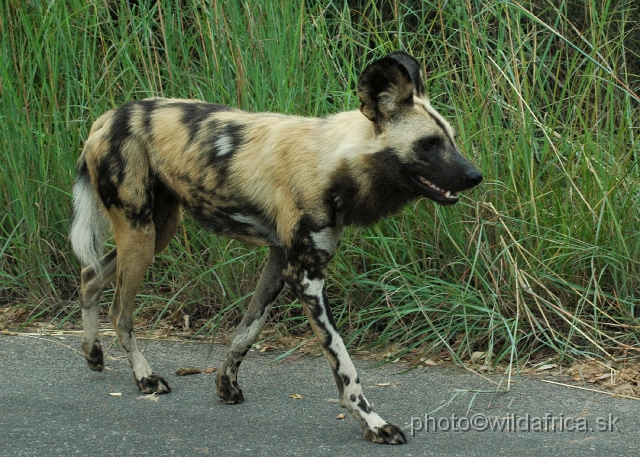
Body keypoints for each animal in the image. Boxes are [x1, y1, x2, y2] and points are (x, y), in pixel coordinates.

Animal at [70, 50, 480, 442]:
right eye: (428, 144)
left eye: (452, 139)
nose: (475, 175)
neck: (330, 163)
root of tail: (109, 116)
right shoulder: (306, 276)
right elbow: (343, 364)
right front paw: (373, 423)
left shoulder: (280, 260)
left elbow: (247, 330)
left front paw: (225, 384)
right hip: (139, 233)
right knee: (120, 313)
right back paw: (144, 377)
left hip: (158, 231)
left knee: (90, 274)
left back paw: (93, 354)